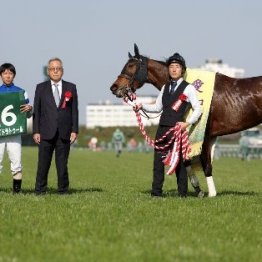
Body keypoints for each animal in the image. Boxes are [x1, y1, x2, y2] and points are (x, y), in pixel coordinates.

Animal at [110, 44, 262, 196]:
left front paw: (211, 194)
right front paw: (198, 189)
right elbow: (186, 161)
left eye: (130, 65)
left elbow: (205, 164)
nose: (114, 87)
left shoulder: (205, 135)